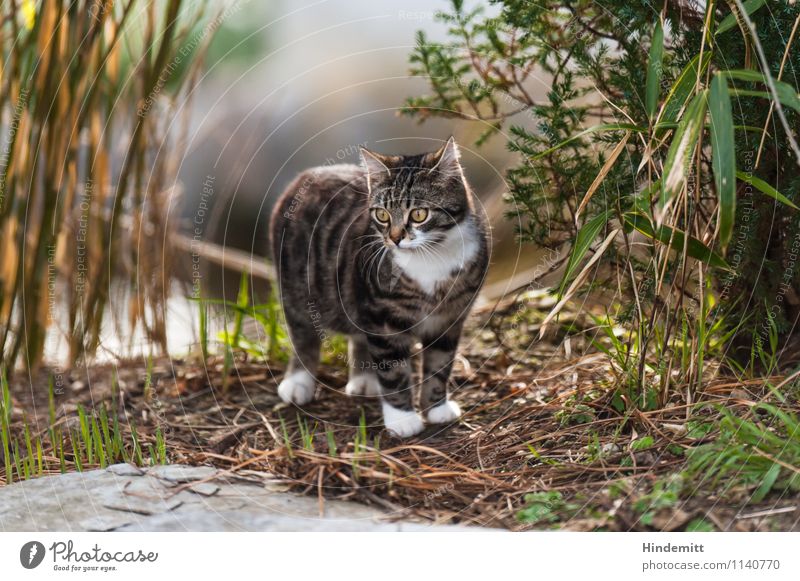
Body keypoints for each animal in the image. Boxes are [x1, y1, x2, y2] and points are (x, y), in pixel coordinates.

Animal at [270, 136, 488, 436]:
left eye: (419, 214)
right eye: (382, 215)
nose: (395, 238)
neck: (431, 257)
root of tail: (308, 175)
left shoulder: (450, 317)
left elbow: (440, 363)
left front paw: (436, 408)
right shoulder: (383, 315)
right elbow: (393, 368)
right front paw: (402, 419)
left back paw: (364, 380)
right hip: (297, 288)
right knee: (303, 334)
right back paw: (298, 382)